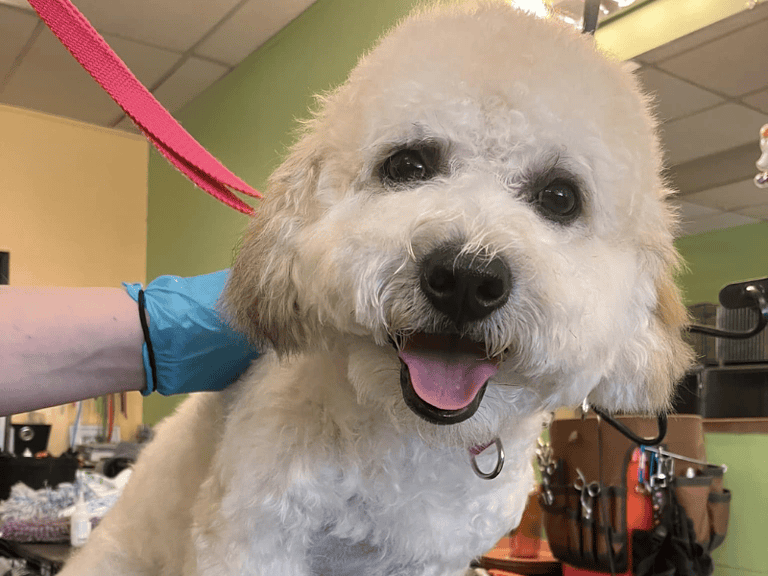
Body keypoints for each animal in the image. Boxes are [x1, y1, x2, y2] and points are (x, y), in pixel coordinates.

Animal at [63, 2, 692, 572]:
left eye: (560, 197)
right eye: (408, 165)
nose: (466, 278)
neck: (411, 437)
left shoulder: (432, 560)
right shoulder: (252, 534)